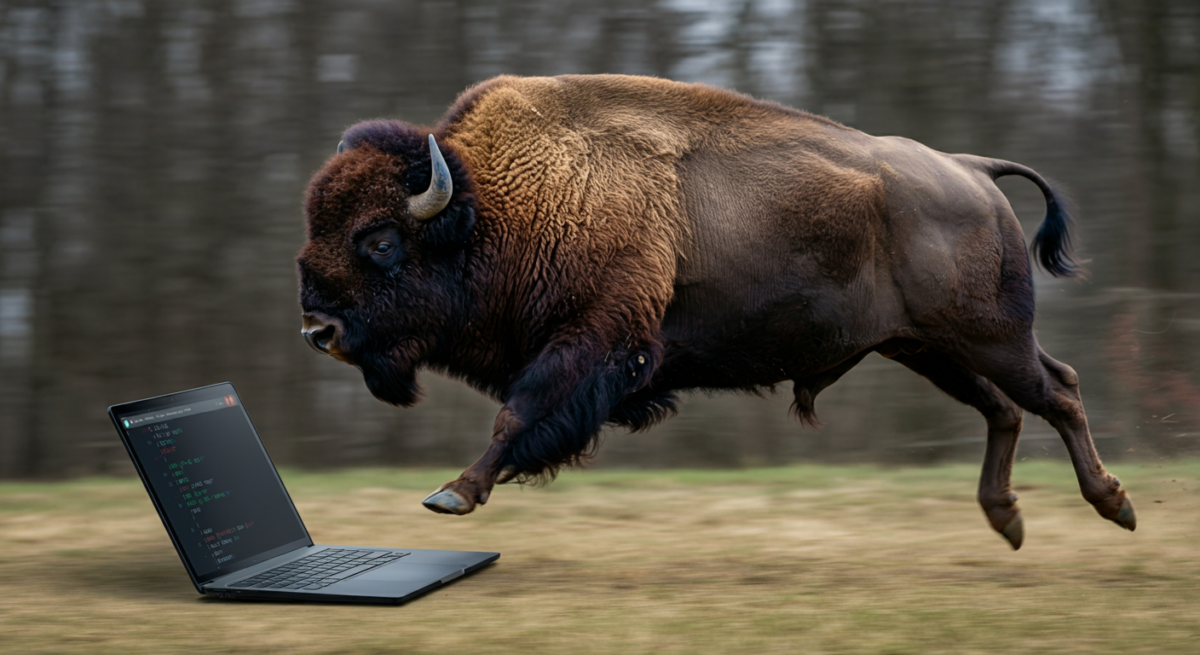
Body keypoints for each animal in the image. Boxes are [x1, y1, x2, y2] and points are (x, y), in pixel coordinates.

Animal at [297, 73, 1132, 547]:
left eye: (379, 239)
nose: (317, 328)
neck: (497, 204)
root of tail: (971, 169)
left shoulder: (593, 341)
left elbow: (517, 418)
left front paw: (452, 494)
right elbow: (524, 421)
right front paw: (457, 491)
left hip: (987, 337)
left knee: (1058, 389)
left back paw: (1113, 504)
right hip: (929, 348)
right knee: (1008, 408)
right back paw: (1008, 518)